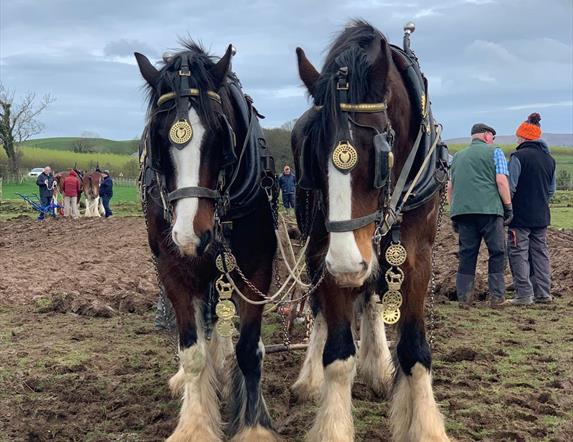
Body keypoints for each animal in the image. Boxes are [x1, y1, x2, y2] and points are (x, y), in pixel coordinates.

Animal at [292, 21, 450, 442]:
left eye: (381, 150)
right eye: (312, 152)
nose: (348, 265)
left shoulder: (416, 257)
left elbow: (414, 350)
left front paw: (423, 425)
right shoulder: (326, 253)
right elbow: (337, 353)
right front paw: (332, 425)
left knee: (374, 299)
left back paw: (378, 366)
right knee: (321, 312)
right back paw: (310, 378)